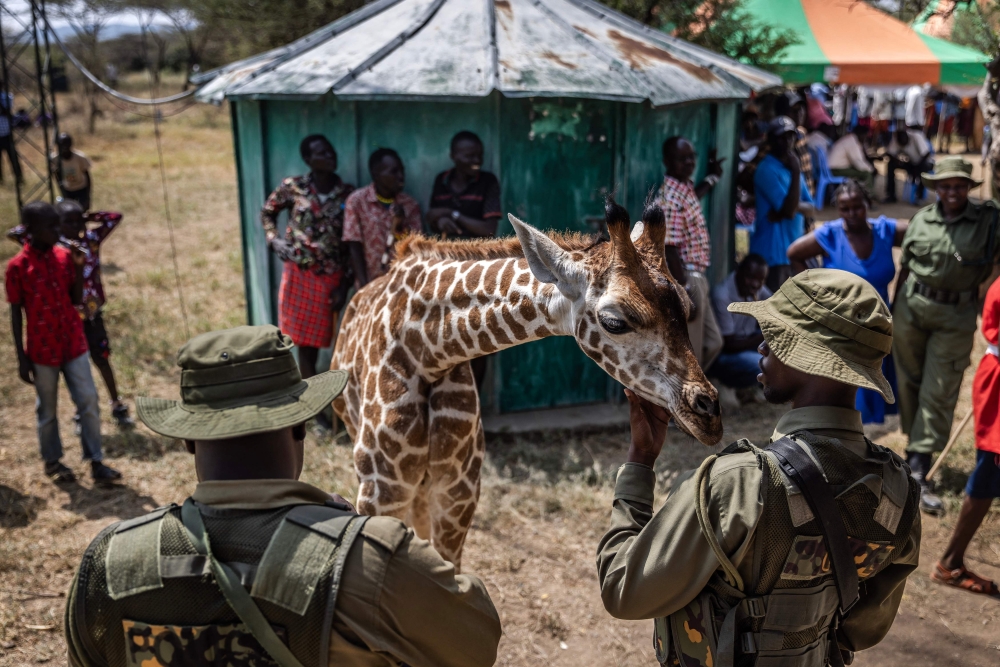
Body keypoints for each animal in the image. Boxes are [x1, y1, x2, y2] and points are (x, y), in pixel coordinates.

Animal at [331, 198, 723, 568]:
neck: (429, 350)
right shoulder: (381, 491)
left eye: (687, 306)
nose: (709, 415)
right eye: (615, 322)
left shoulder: (459, 492)